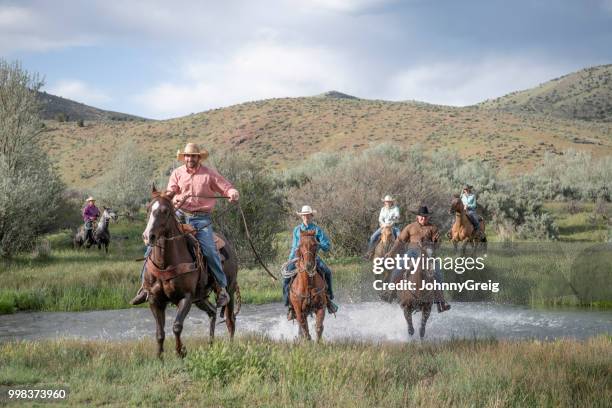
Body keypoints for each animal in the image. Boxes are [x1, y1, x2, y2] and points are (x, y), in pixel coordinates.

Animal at [143, 186, 239, 358]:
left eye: (165, 211)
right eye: (148, 209)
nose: (149, 236)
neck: (165, 264)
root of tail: (228, 245)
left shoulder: (186, 297)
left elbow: (177, 326)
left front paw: (180, 351)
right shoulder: (155, 300)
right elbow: (160, 333)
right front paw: (159, 358)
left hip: (230, 289)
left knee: (230, 321)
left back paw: (230, 348)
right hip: (200, 298)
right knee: (212, 312)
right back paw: (210, 345)